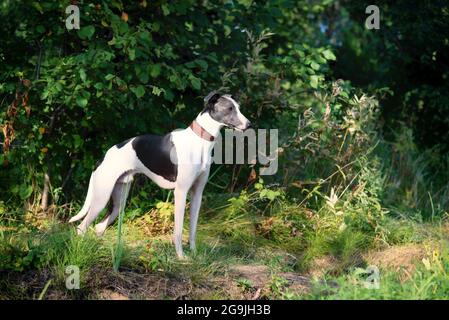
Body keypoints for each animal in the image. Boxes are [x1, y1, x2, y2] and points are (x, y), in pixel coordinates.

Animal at [70, 91, 252, 258]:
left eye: (238, 107)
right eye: (229, 108)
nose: (249, 125)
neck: (199, 141)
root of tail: (103, 157)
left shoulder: (197, 193)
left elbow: (193, 230)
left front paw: (194, 254)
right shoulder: (180, 192)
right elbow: (178, 230)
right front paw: (181, 257)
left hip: (119, 200)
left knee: (99, 227)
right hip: (101, 197)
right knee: (81, 227)